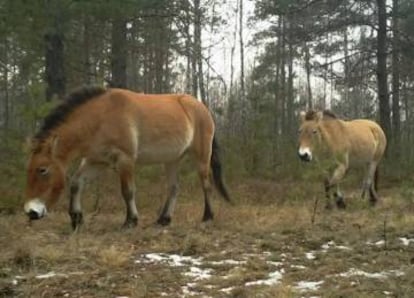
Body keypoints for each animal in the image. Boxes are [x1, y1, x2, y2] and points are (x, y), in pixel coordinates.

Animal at [23, 85, 230, 229]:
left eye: (43, 170)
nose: (31, 212)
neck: (99, 118)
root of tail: (202, 107)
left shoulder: (125, 160)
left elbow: (128, 191)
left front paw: (130, 221)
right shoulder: (96, 161)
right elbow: (76, 183)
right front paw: (76, 219)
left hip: (201, 156)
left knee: (206, 185)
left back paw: (207, 217)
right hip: (172, 160)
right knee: (174, 188)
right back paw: (163, 220)